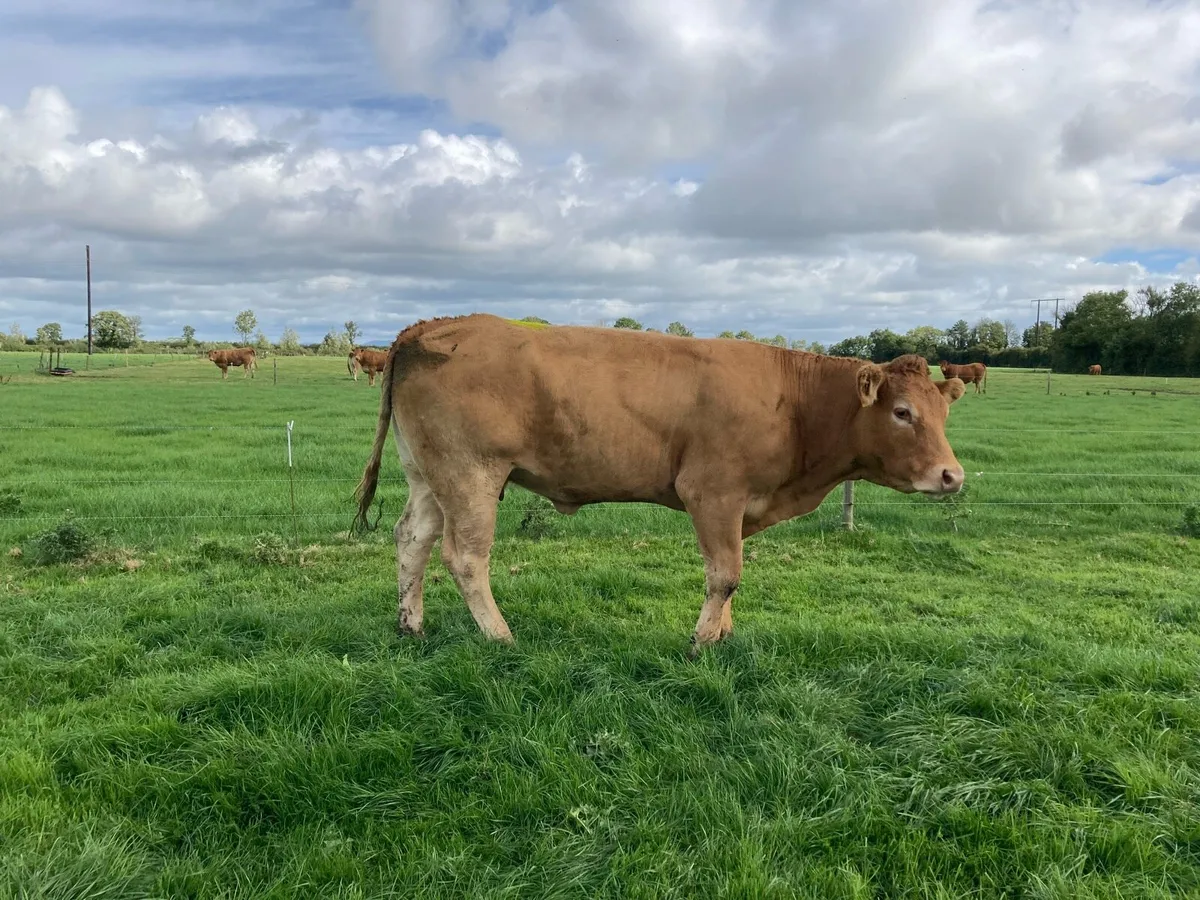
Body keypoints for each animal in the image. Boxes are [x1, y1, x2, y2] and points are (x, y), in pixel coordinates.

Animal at [354, 314, 967, 655]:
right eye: (903, 413)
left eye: (944, 412)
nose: (952, 475)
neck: (795, 404)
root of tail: (428, 328)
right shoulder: (711, 493)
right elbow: (726, 575)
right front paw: (701, 643)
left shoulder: (737, 508)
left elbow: (730, 575)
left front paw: (723, 636)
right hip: (471, 474)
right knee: (464, 556)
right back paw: (500, 637)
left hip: (430, 475)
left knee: (412, 538)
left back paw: (411, 626)